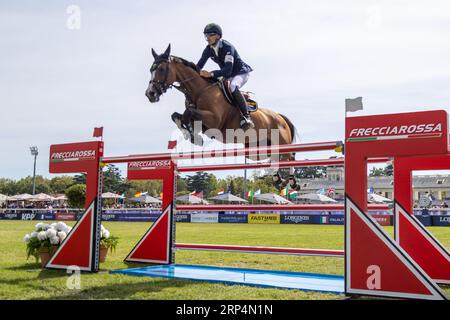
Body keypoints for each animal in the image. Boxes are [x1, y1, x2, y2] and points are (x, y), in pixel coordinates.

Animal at [145, 44, 298, 160]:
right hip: (257, 148)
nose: (150, 94)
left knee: (289, 158)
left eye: (162, 69)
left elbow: (189, 112)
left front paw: (190, 133)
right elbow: (177, 115)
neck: (199, 91)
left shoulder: (214, 121)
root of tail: (280, 117)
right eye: (150, 69)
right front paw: (188, 132)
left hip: (282, 144)